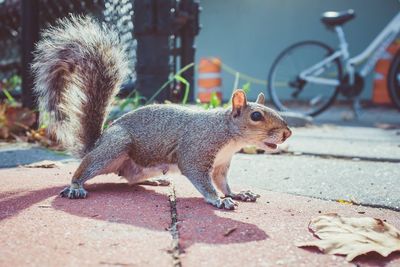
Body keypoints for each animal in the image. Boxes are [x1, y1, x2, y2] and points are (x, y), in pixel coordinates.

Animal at [32, 15, 290, 210]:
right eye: (256, 116)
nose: (287, 133)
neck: (227, 134)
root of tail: (96, 143)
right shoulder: (196, 153)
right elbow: (203, 181)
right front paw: (219, 200)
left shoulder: (221, 165)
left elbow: (222, 183)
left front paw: (237, 194)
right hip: (114, 147)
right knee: (86, 169)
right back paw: (76, 186)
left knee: (129, 178)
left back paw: (155, 180)